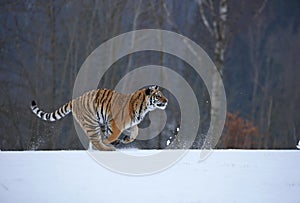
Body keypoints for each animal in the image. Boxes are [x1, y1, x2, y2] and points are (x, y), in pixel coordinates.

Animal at [30, 85, 169, 151]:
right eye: (158, 96)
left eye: (162, 95)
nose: (166, 100)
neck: (143, 107)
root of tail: (76, 99)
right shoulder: (115, 124)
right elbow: (111, 136)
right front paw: (112, 142)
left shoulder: (129, 124)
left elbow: (135, 132)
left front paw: (125, 139)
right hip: (92, 123)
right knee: (96, 141)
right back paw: (109, 149)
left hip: (99, 123)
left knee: (95, 141)